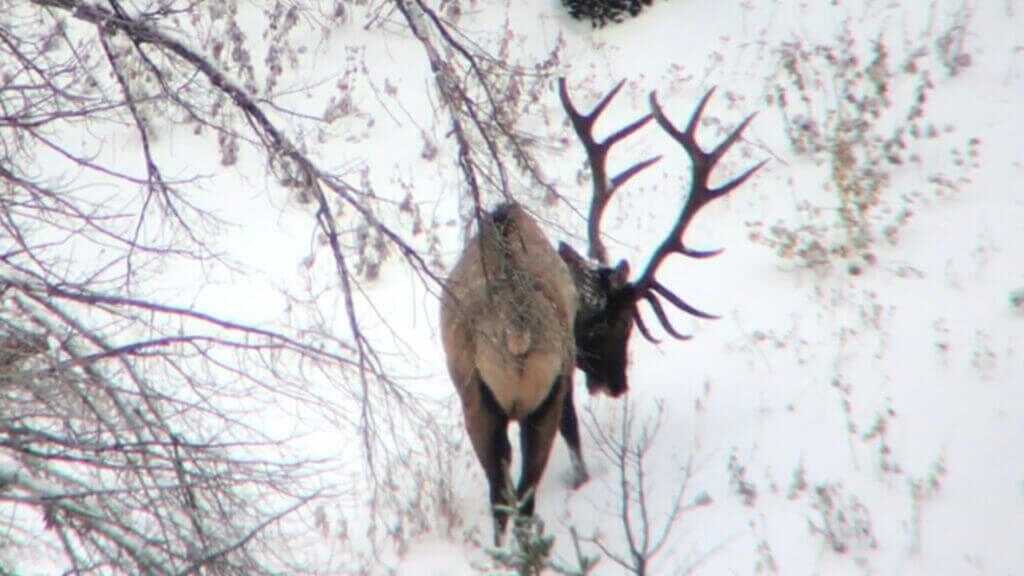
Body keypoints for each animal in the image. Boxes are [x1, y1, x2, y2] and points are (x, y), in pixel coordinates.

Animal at [439, 78, 764, 545]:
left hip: (477, 399)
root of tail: (516, 333)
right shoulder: (564, 376)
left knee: (501, 496)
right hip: (536, 395)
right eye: (620, 323)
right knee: (524, 492)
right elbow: (573, 431)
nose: (617, 384)